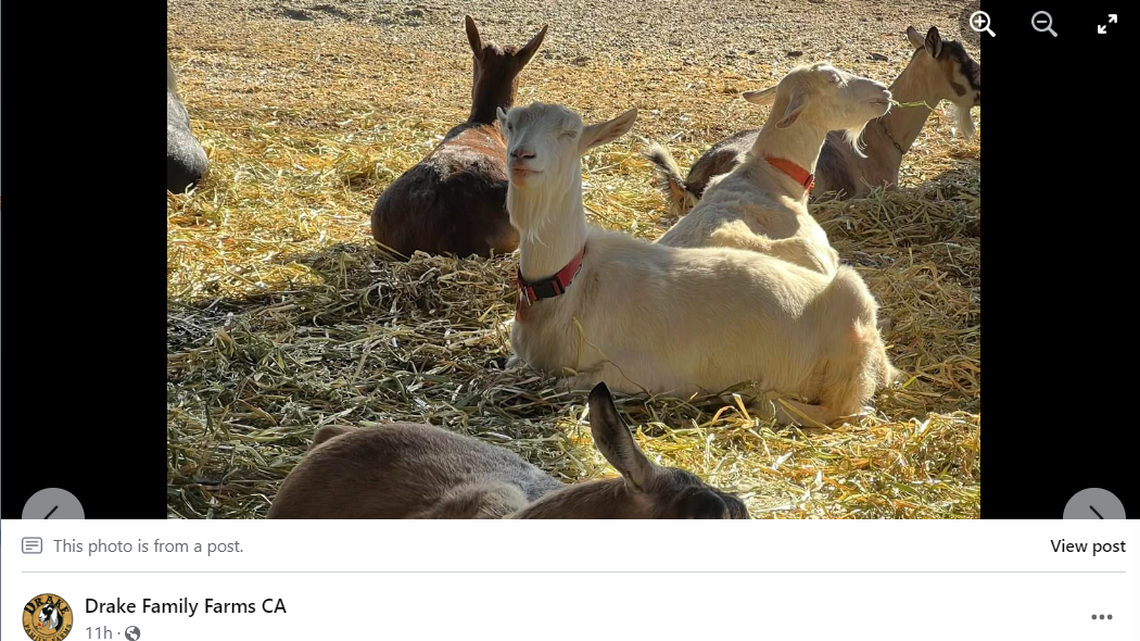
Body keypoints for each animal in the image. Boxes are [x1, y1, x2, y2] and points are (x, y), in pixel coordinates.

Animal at [502, 102, 897, 426]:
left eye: (569, 133)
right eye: (509, 125)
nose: (521, 155)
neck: (573, 283)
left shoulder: (642, 372)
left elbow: (569, 382)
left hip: (848, 332)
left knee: (842, 409)